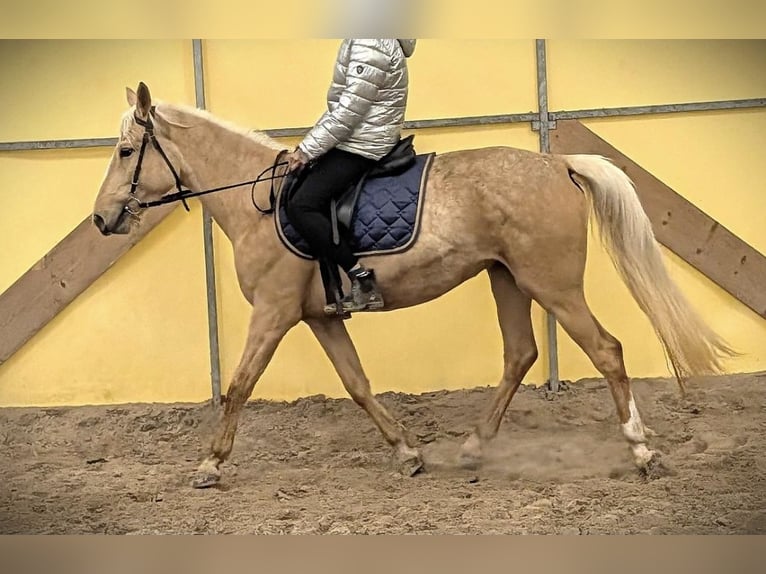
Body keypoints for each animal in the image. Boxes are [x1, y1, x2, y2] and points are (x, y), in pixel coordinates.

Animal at [92, 82, 734, 488]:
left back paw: (642, 451)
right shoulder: (320, 316)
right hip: (507, 279)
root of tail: (557, 164)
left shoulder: (273, 312)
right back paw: (474, 446)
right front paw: (407, 453)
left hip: (552, 285)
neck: (261, 202)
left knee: (607, 351)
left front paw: (210, 465)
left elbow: (239, 385)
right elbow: (356, 383)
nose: (102, 219)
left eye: (125, 151)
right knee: (520, 353)